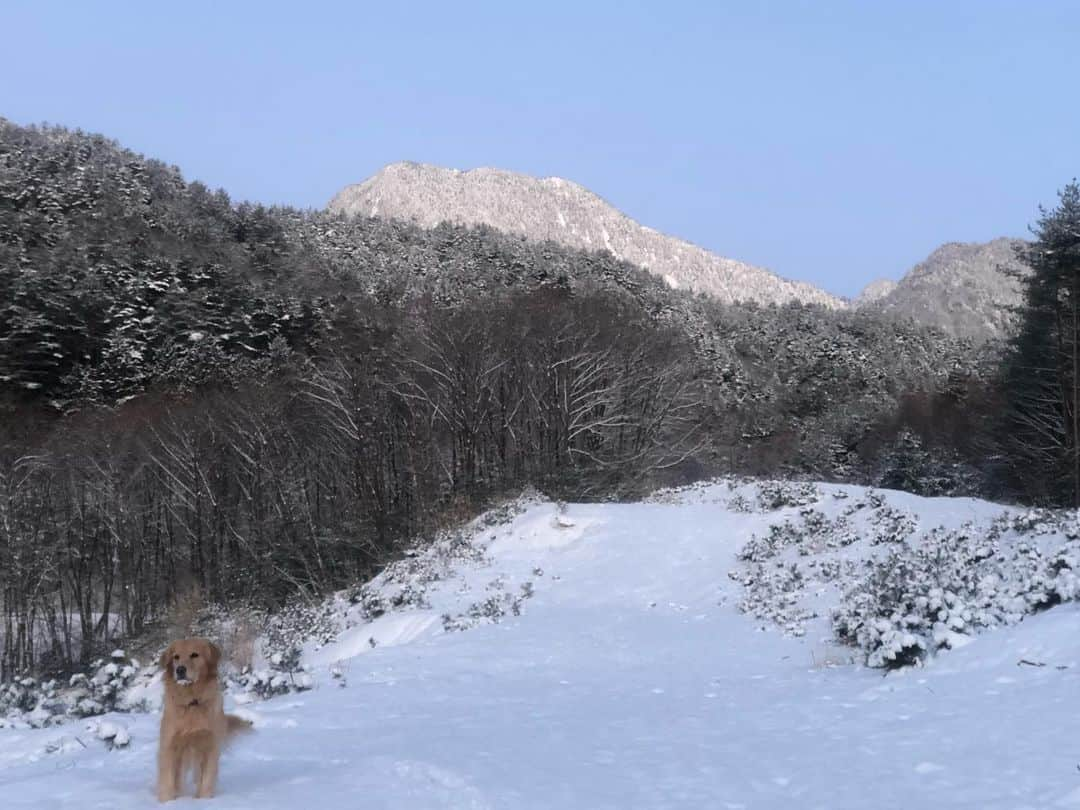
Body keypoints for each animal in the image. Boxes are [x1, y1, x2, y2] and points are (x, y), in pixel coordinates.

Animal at [157, 639, 251, 807]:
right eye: (176, 657)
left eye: (194, 654)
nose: (180, 670)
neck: (192, 702)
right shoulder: (169, 745)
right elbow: (168, 780)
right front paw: (167, 802)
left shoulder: (210, 745)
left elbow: (206, 779)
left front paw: (204, 801)